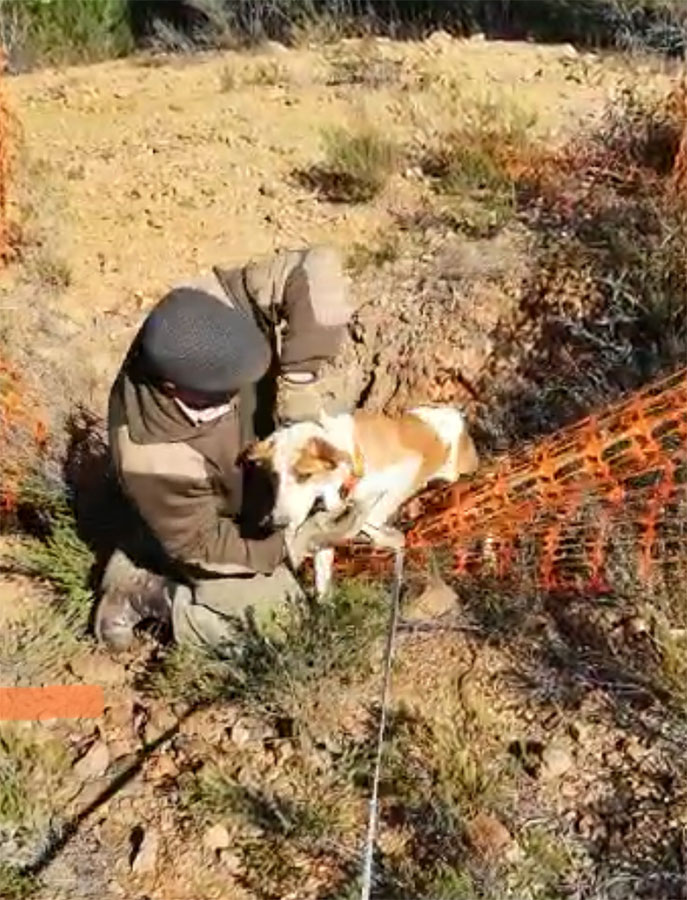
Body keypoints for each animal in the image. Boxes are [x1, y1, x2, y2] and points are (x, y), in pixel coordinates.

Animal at [245, 404, 482, 596]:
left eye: (304, 475)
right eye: (274, 476)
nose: (275, 523)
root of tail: (455, 414)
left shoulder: (408, 469)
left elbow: (371, 517)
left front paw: (381, 534)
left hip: (456, 472)